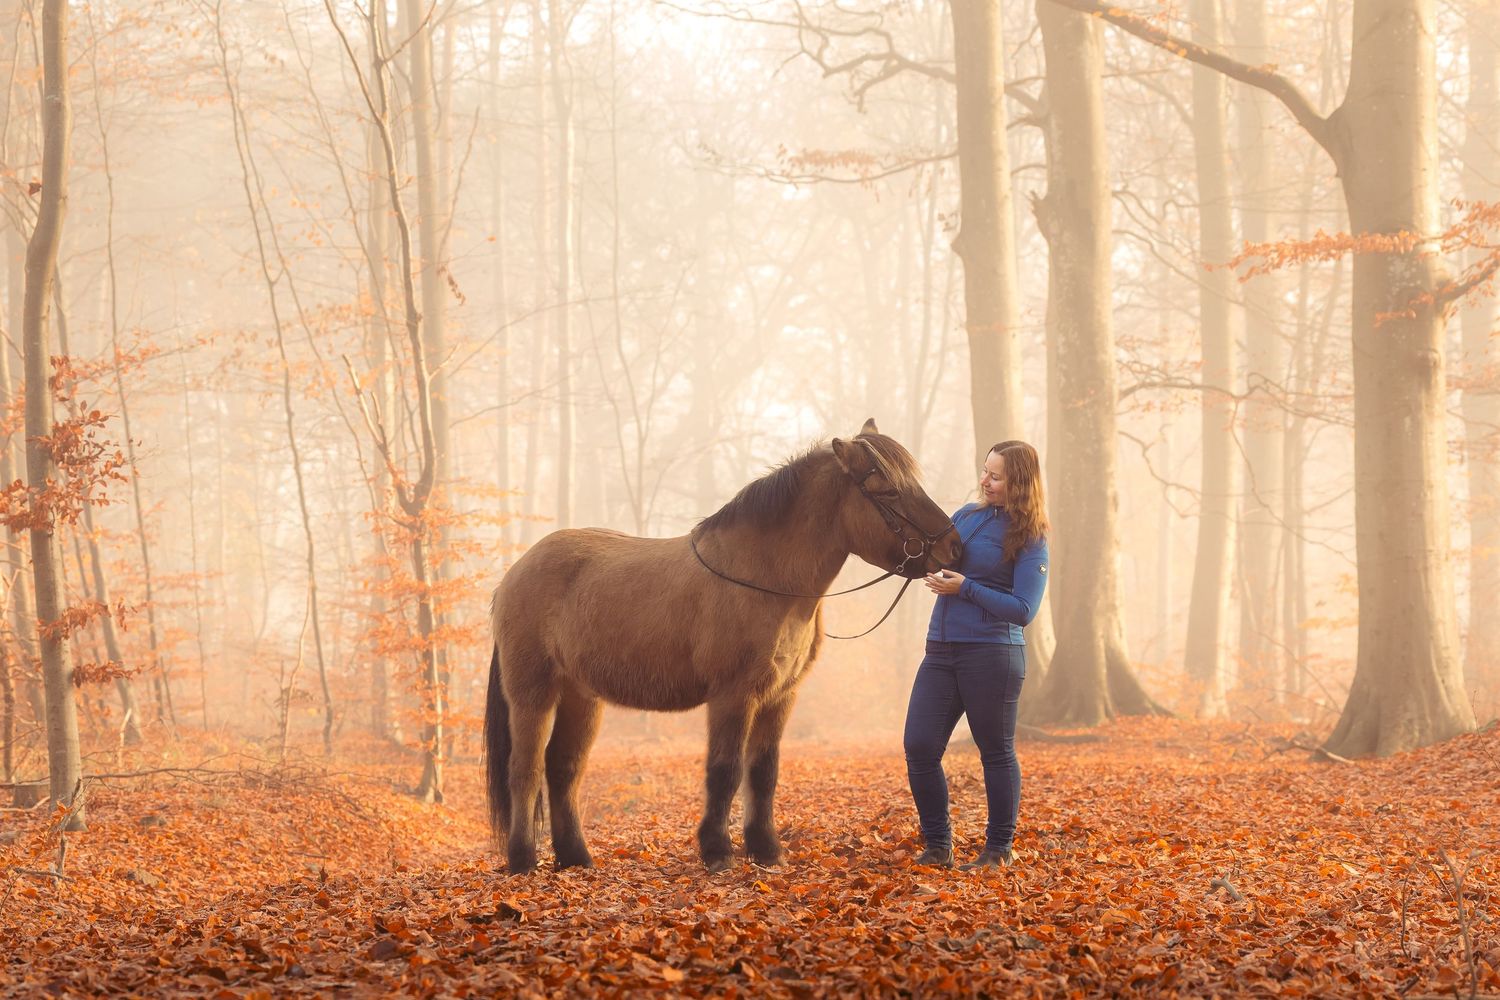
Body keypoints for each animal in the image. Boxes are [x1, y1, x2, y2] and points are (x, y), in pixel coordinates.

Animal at [483, 419, 962, 874]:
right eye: (889, 489)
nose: (954, 547)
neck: (764, 578)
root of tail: (514, 574)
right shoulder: (733, 695)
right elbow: (725, 770)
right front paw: (717, 850)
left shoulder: (780, 697)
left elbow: (763, 773)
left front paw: (766, 849)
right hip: (532, 694)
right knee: (524, 770)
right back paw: (523, 859)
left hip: (581, 697)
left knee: (563, 768)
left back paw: (576, 857)